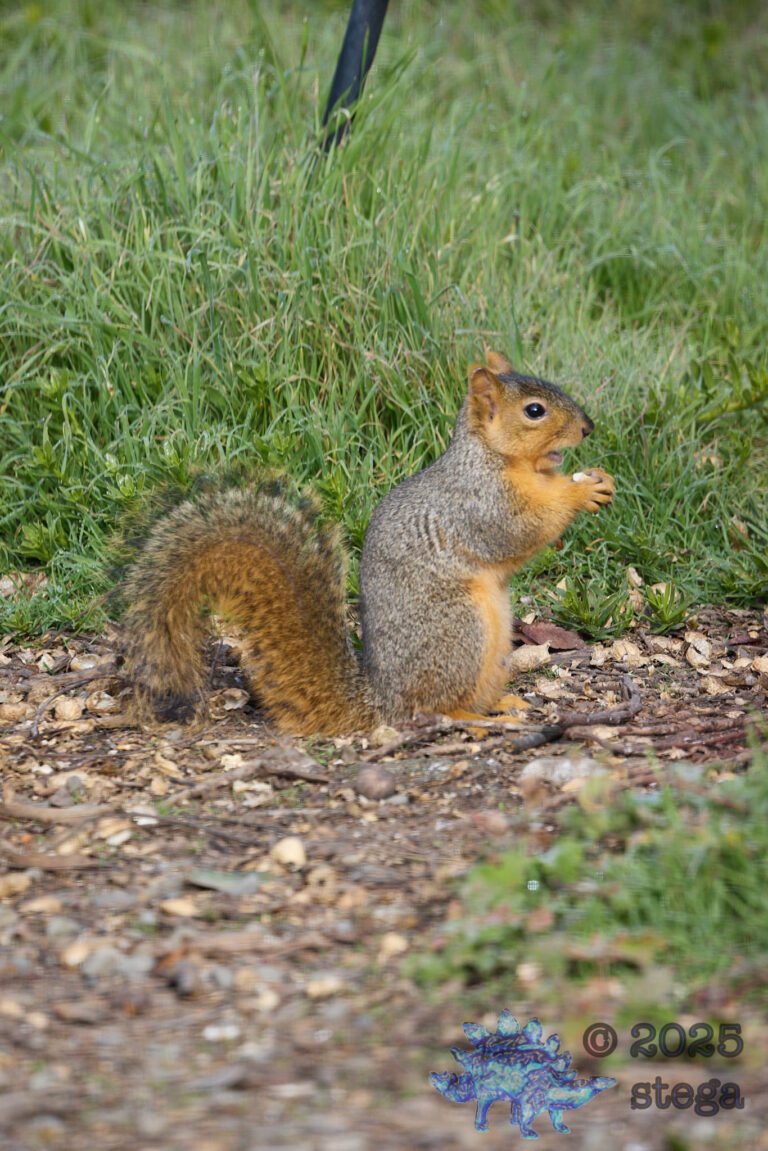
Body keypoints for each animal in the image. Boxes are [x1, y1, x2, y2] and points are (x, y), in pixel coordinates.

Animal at [120, 351, 614, 735]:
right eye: (534, 411)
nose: (589, 427)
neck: (499, 459)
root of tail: (383, 699)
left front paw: (596, 480)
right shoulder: (478, 502)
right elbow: (518, 529)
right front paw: (579, 492)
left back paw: (502, 704)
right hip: (459, 631)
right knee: (437, 707)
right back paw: (478, 719)